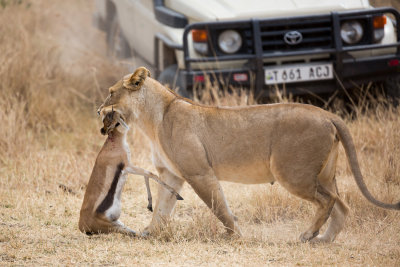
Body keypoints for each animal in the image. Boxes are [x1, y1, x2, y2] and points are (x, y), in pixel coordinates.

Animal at [77, 109, 183, 237]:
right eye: (115, 122)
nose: (115, 110)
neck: (114, 144)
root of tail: (82, 226)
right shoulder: (128, 167)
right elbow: (150, 174)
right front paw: (178, 195)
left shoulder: (128, 168)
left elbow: (146, 175)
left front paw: (150, 205)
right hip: (115, 227)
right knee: (138, 235)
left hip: (118, 223)